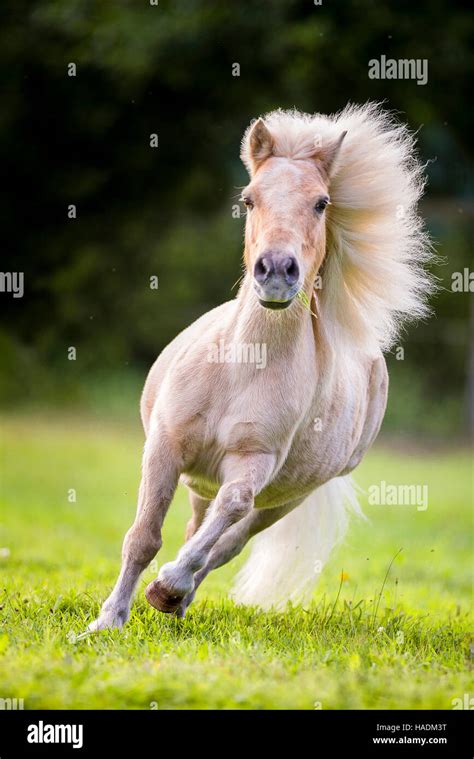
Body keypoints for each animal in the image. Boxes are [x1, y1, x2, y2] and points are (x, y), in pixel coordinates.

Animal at [87, 104, 432, 632]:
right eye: (249, 200)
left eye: (322, 203)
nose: (275, 271)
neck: (241, 369)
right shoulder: (165, 447)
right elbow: (143, 536)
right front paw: (107, 621)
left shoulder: (253, 463)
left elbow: (228, 516)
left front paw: (164, 588)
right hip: (200, 481)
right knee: (196, 528)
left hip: (286, 498)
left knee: (225, 542)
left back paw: (172, 595)